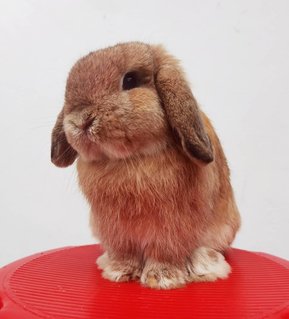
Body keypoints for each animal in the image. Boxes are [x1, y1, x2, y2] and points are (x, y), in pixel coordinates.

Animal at [50, 42, 240, 290]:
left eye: (130, 80)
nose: (81, 120)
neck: (127, 159)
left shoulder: (171, 227)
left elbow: (164, 253)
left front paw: (161, 279)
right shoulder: (117, 232)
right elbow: (126, 255)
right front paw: (119, 272)